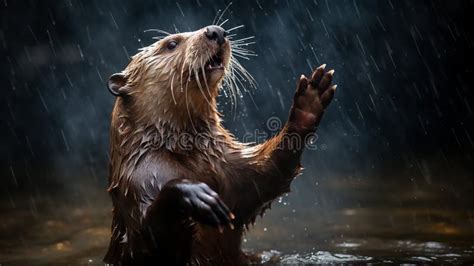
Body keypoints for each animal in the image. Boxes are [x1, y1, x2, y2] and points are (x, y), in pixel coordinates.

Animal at [103, 24, 336, 264]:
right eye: (171, 44)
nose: (216, 31)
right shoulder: (139, 182)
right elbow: (148, 241)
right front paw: (195, 195)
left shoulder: (232, 168)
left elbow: (269, 176)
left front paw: (308, 103)